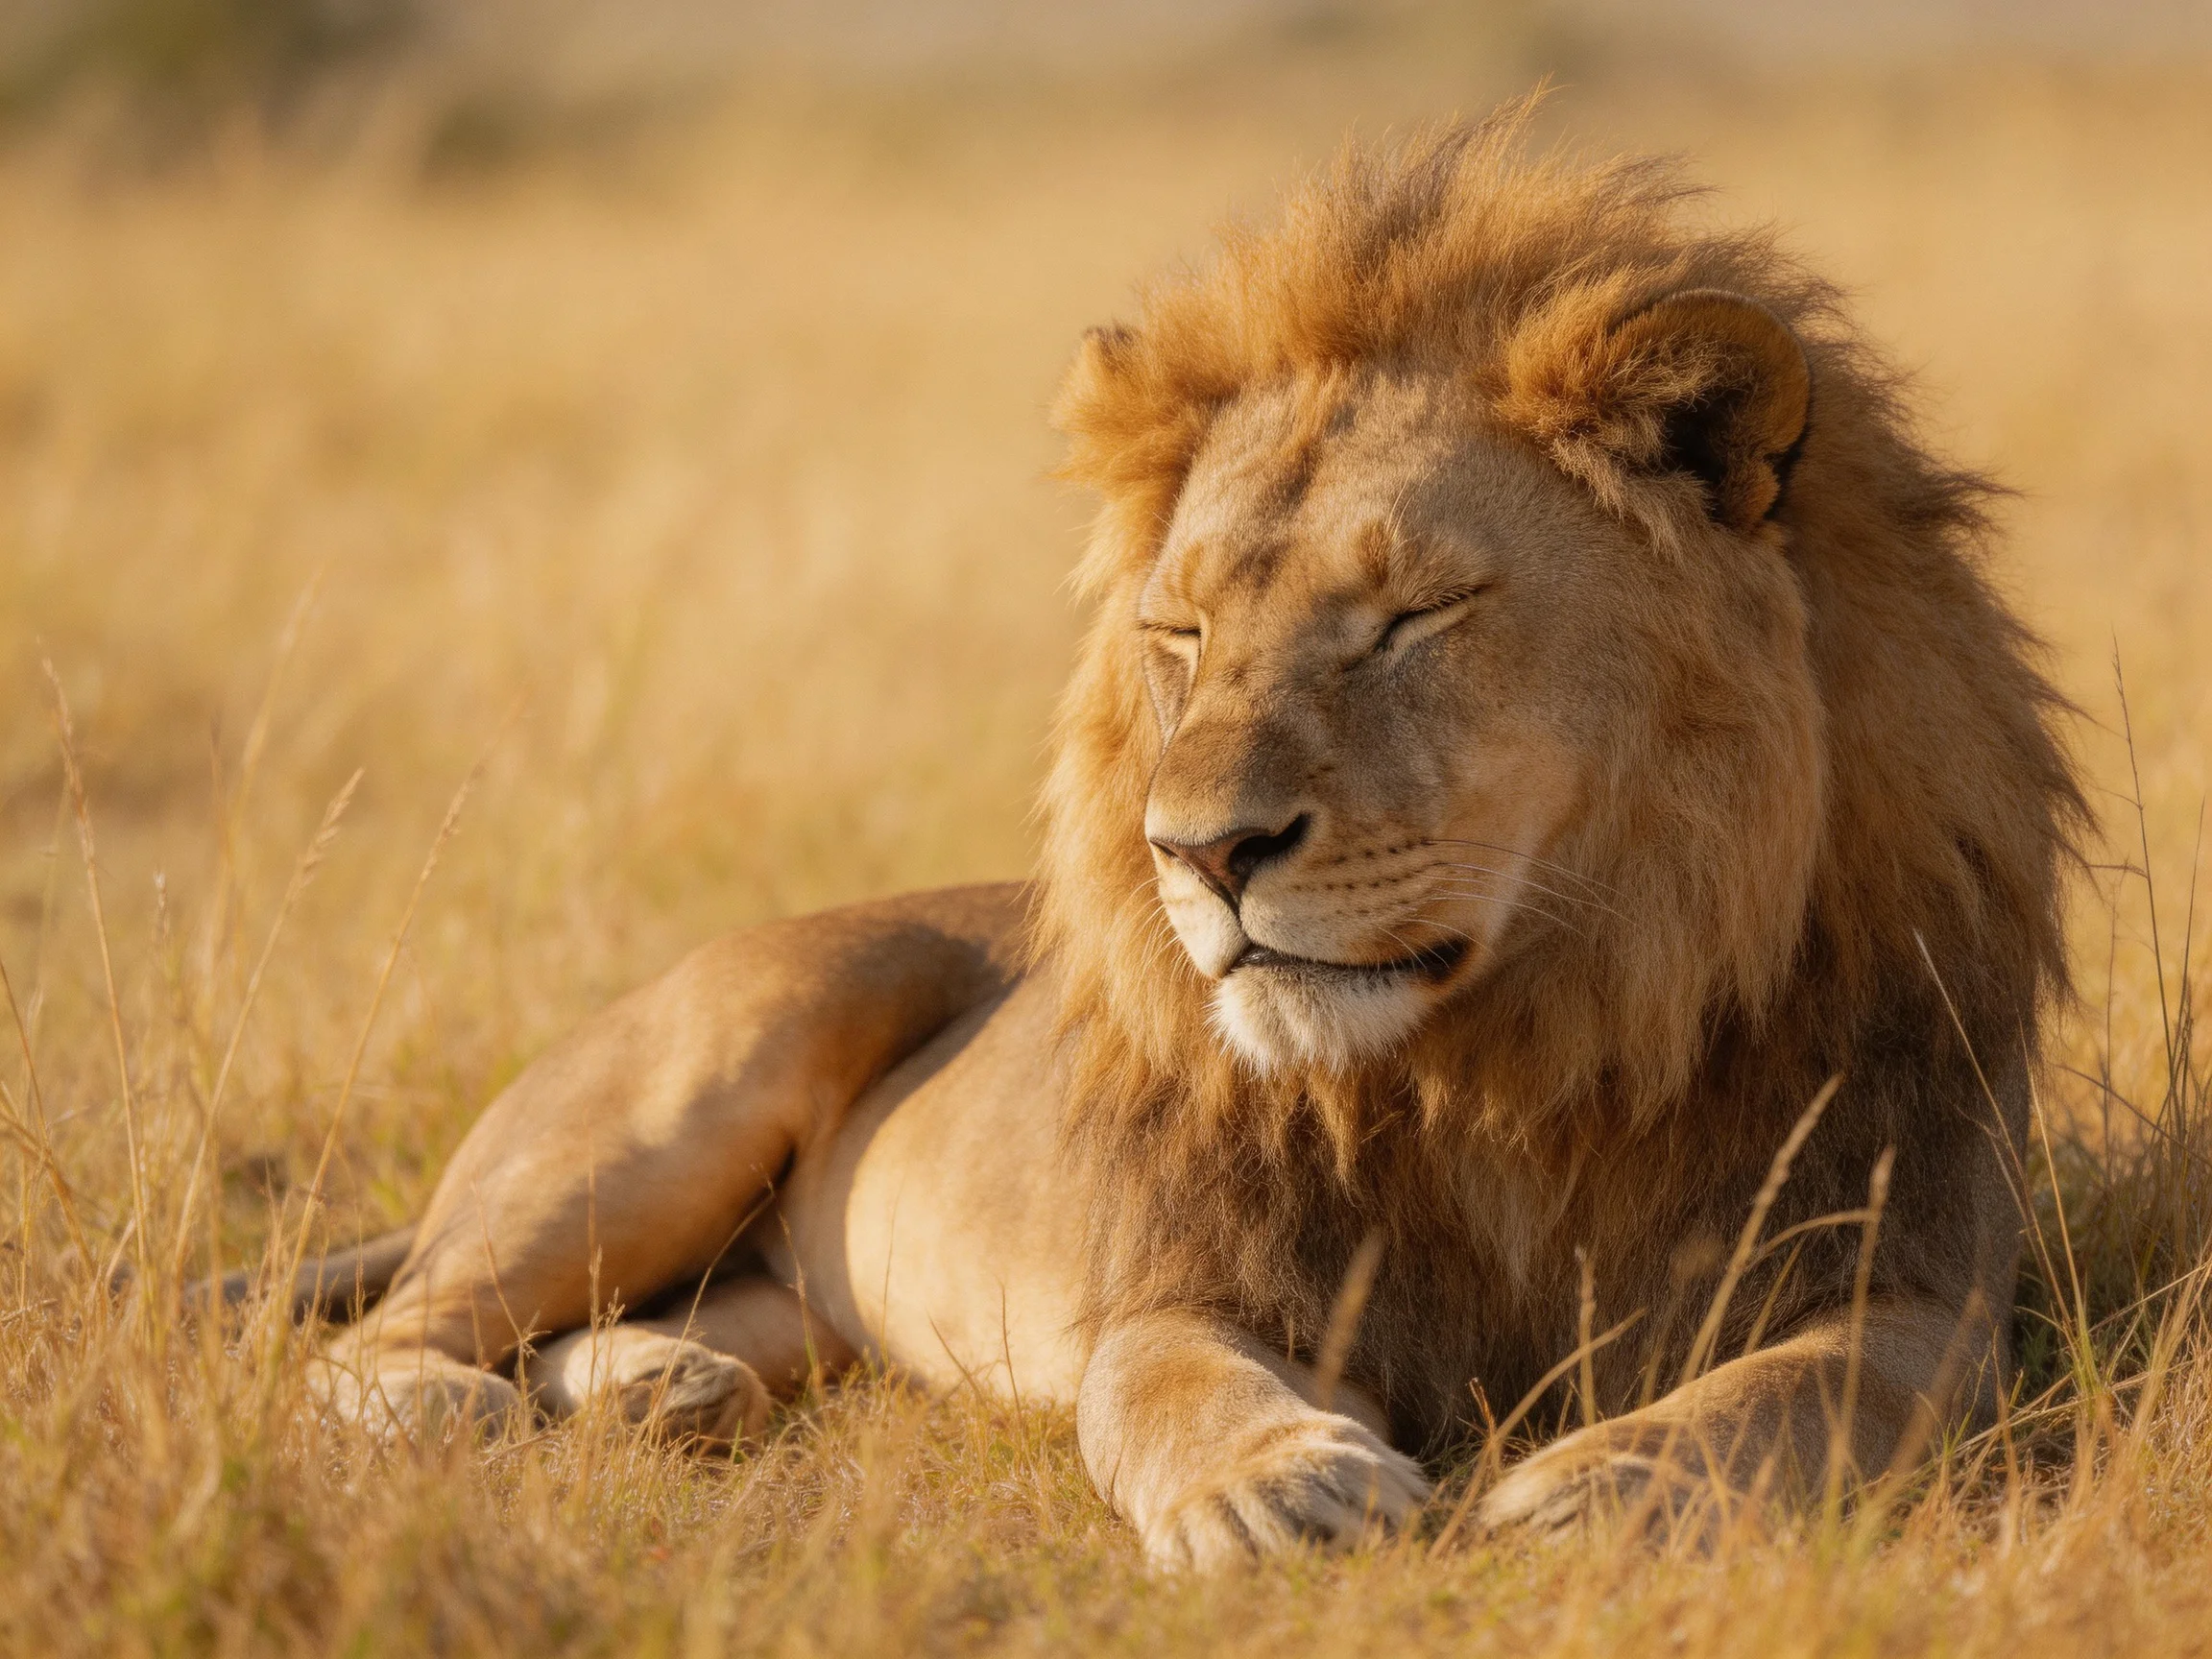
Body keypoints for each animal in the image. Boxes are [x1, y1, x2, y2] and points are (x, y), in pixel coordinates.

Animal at [267, 110, 2082, 1567]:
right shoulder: (1180, 1279)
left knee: (682, 1322)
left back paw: (664, 1378)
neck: (1520, 1050)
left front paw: (1611, 1483)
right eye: (1183, 634)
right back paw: (450, 1407)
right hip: (690, 1078)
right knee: (384, 1334)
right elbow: (1161, 1379)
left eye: (1410, 617)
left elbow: (1808, 1387)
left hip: (793, 1298)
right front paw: (1276, 1483)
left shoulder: (1927, 1280)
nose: (1200, 852)